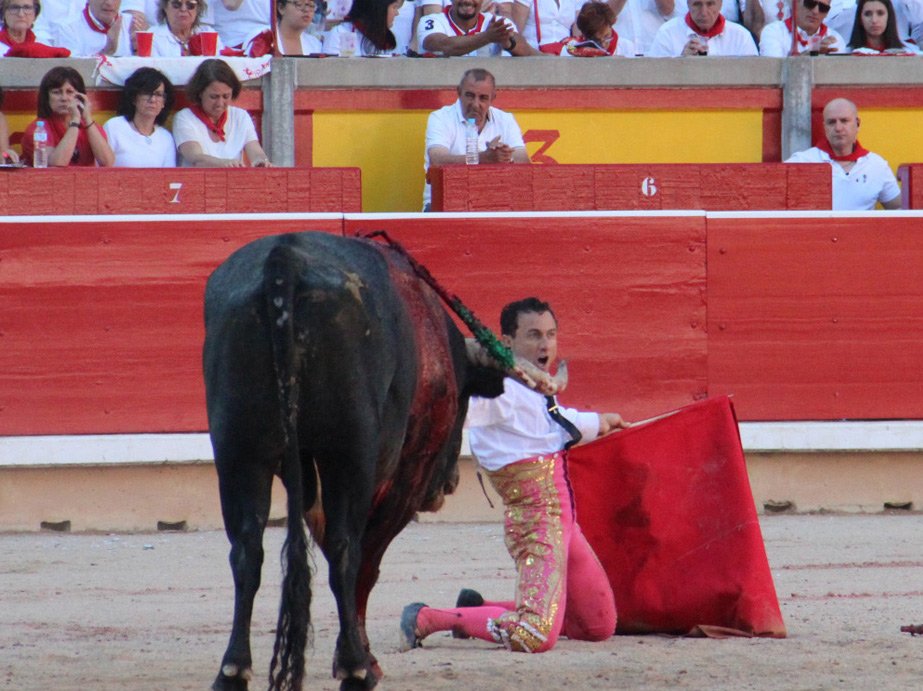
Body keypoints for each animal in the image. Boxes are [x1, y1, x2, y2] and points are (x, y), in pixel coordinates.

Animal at [204, 231, 562, 690]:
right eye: (464, 399)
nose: (448, 484)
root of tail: (284, 260)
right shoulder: (402, 473)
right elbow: (365, 562)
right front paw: (362, 659)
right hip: (348, 454)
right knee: (345, 552)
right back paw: (356, 670)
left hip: (237, 452)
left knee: (247, 550)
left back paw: (233, 670)